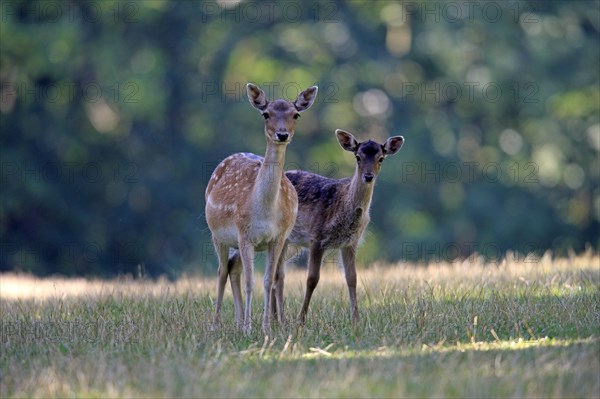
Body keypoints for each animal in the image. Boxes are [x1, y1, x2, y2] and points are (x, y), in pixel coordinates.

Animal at [205, 82, 318, 334]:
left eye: (296, 114)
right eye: (266, 114)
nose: (282, 134)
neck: (265, 211)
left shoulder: (278, 238)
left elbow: (267, 281)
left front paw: (266, 327)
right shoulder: (244, 234)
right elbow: (250, 282)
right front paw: (249, 329)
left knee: (232, 269)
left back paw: (237, 321)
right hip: (217, 234)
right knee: (221, 272)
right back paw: (216, 324)